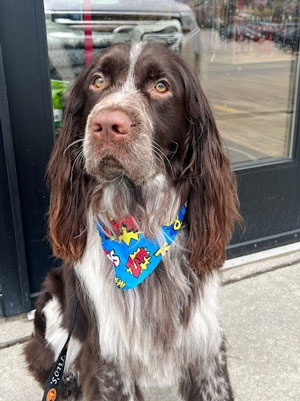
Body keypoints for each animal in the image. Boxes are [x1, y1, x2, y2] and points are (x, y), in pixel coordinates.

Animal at [25, 41, 240, 400]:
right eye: (97, 81)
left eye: (161, 86)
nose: (106, 125)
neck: (142, 223)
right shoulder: (109, 356)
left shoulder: (205, 342)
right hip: (54, 303)